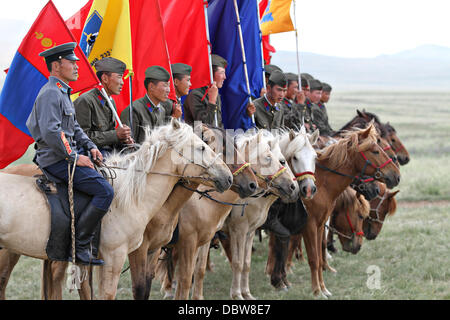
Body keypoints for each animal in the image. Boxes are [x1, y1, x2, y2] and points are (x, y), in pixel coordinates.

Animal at [156, 129, 300, 300]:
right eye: (269, 158)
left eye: (282, 161)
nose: (293, 187)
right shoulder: (238, 231)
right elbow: (238, 263)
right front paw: (237, 294)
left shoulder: (248, 232)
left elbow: (244, 263)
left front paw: (246, 293)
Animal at [268, 124, 400, 298]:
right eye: (375, 151)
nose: (396, 175)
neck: (321, 184)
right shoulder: (309, 225)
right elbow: (313, 258)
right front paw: (317, 291)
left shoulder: (319, 224)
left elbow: (318, 253)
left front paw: (323, 288)